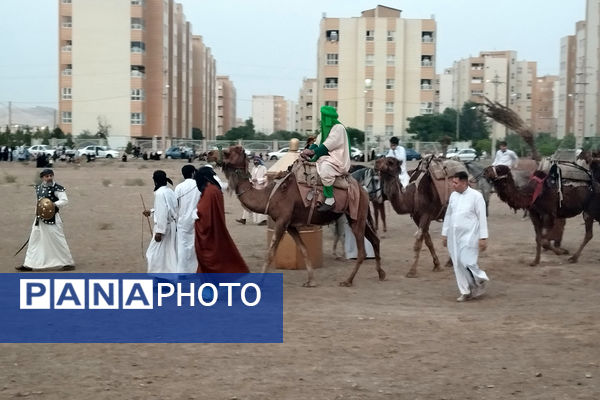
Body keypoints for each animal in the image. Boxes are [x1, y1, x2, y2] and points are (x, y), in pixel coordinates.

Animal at [209, 147, 384, 288]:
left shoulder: (282, 221)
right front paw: (311, 281)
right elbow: (304, 250)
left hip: (356, 214)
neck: (269, 195)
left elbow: (270, 253)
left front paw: (257, 283)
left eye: (229, 151)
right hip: (356, 215)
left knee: (362, 250)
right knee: (374, 239)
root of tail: (362, 189)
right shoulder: (290, 224)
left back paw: (348, 280)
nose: (208, 154)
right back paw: (381, 274)